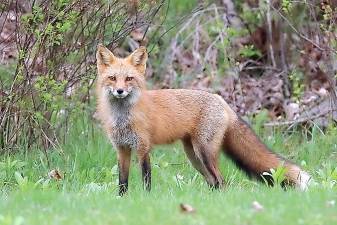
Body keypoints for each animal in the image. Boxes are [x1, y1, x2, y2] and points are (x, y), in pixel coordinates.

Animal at [94, 44, 310, 195]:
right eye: (112, 78)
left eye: (129, 79)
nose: (119, 91)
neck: (123, 118)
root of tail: (221, 100)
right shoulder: (122, 149)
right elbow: (122, 182)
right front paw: (122, 200)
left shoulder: (143, 147)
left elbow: (146, 179)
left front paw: (146, 199)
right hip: (194, 157)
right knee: (214, 182)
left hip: (204, 152)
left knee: (221, 181)